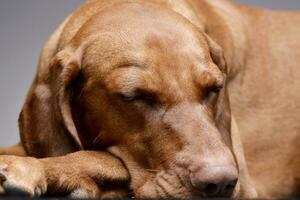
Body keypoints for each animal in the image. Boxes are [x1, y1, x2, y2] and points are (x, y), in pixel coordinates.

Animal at [0, 0, 298, 198]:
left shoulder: (245, 186)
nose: (221, 183)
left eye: (214, 88)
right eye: (134, 96)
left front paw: (31, 167)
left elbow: (101, 157)